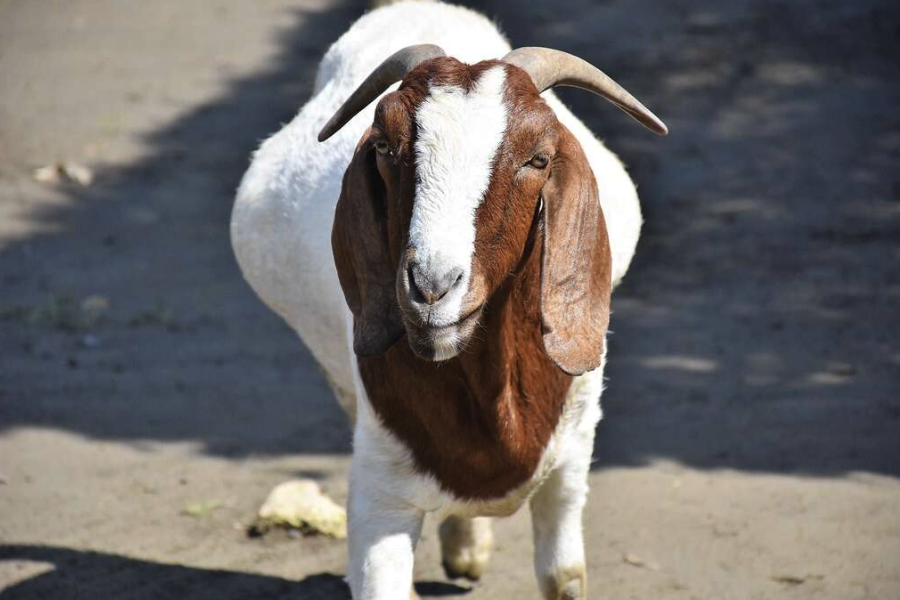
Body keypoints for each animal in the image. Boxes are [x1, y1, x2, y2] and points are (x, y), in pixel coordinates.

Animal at [230, 2, 668, 596]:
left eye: (538, 158)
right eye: (385, 146)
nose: (432, 287)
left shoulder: (572, 459)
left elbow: (563, 574)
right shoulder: (380, 487)